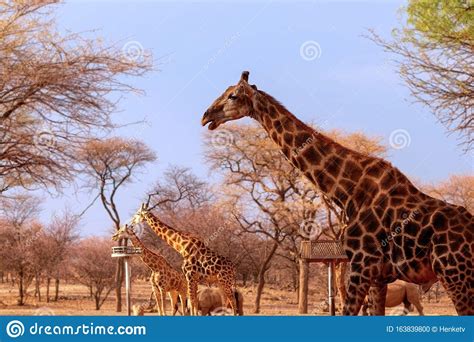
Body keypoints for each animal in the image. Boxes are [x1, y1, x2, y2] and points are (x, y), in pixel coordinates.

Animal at [201, 70, 474, 316]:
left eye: (233, 95)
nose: (206, 116)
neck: (348, 192)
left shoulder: (361, 266)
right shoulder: (378, 276)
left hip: (456, 277)